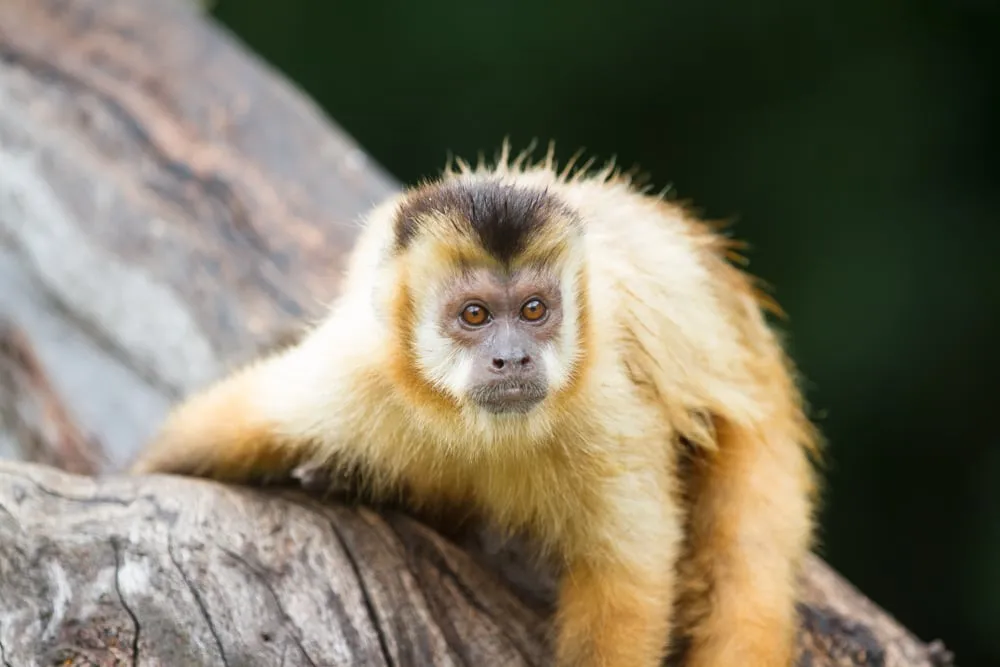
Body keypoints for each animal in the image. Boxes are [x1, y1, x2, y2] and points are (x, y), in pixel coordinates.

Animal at [130, 142, 820, 667]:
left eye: (535, 310)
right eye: (475, 316)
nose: (511, 358)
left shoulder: (607, 409)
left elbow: (628, 582)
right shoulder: (359, 375)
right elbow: (220, 429)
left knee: (747, 571)